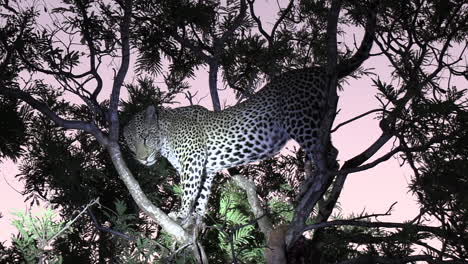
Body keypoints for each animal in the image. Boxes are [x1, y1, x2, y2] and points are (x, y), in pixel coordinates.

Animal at [122, 66, 334, 221]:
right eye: (131, 147)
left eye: (145, 137)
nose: (143, 159)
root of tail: (317, 69)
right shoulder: (205, 168)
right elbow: (202, 193)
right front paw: (196, 216)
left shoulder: (193, 158)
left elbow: (188, 189)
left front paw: (181, 213)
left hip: (300, 120)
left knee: (329, 156)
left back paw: (315, 182)